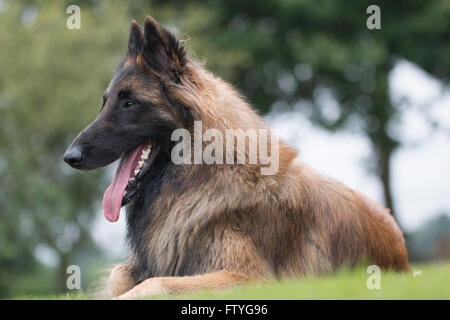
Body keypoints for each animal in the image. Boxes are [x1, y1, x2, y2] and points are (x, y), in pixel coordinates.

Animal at [64, 16, 412, 298]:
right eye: (105, 102)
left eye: (129, 103)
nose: (70, 157)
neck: (202, 175)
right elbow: (118, 275)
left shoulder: (250, 277)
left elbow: (155, 283)